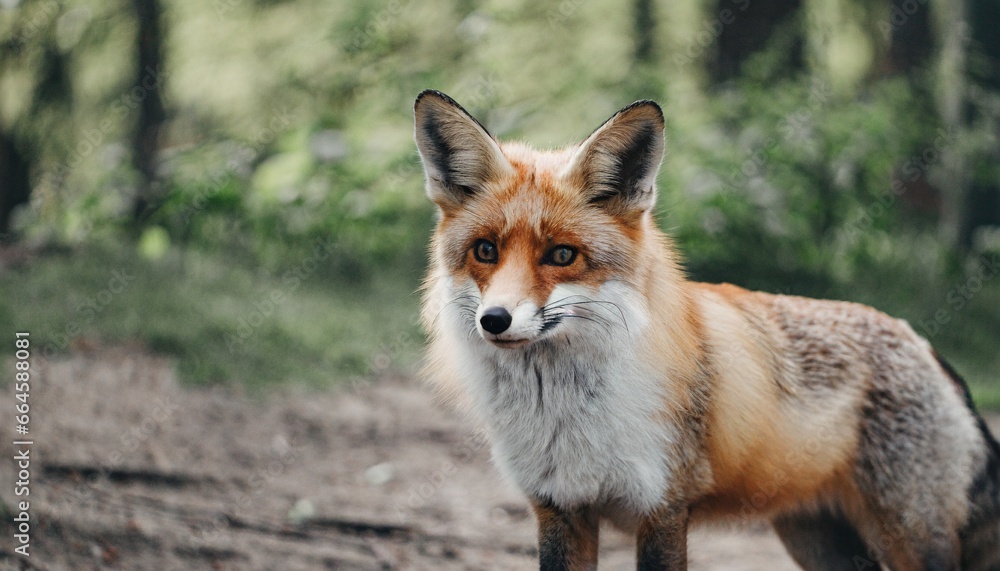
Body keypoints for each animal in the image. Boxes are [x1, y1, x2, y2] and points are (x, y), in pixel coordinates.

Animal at [413, 89, 1000, 570]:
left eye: (562, 255)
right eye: (485, 250)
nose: (495, 320)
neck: (565, 412)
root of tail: (923, 344)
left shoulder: (665, 509)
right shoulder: (560, 510)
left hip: (909, 539)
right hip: (815, 539)